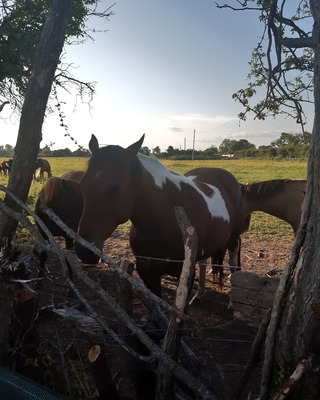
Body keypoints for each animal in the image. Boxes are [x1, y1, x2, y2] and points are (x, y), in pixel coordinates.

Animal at [75, 134, 245, 296]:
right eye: (82, 185)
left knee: (232, 264)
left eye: (114, 188)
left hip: (233, 239)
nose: (83, 250)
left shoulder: (185, 274)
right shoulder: (147, 272)